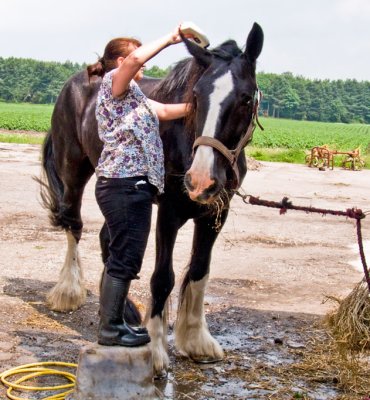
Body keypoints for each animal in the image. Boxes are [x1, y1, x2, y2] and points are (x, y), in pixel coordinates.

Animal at [36, 23, 264, 376]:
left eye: (245, 98)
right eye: (196, 96)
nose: (199, 181)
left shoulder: (216, 213)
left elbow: (200, 271)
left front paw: (197, 341)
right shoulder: (168, 213)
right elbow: (162, 278)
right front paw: (157, 352)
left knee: (107, 239)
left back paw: (125, 312)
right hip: (73, 172)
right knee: (74, 226)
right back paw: (68, 293)